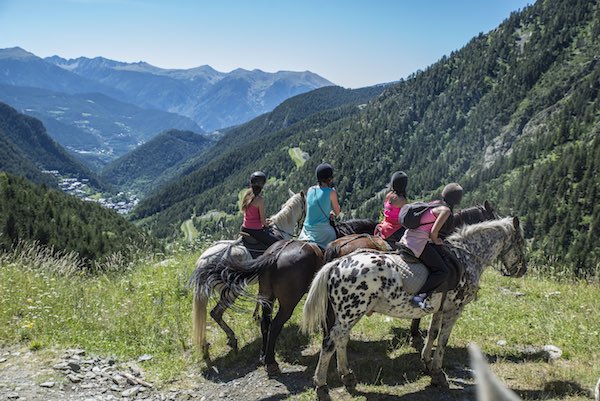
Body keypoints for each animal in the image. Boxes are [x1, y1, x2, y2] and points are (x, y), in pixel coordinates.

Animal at [191, 189, 308, 354]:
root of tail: (203, 261)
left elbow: (260, 296)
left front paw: (256, 316)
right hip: (231, 291)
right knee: (216, 313)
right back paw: (232, 339)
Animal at [302, 217, 528, 398]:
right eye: (520, 242)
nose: (523, 270)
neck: (466, 257)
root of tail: (337, 263)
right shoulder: (454, 310)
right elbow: (443, 340)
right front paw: (438, 373)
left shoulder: (439, 309)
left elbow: (433, 333)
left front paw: (427, 362)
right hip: (350, 313)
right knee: (330, 342)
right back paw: (321, 385)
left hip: (348, 314)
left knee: (341, 340)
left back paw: (347, 376)